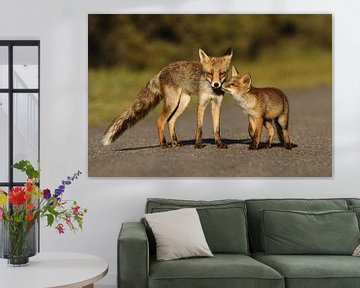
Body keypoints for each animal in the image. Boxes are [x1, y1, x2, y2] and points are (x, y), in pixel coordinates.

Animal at [101, 48, 233, 148]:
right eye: (210, 73)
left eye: (222, 73)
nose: (216, 84)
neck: (212, 90)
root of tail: (162, 70)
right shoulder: (202, 103)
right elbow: (199, 128)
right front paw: (198, 145)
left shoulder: (217, 104)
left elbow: (217, 128)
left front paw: (219, 144)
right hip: (172, 103)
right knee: (160, 121)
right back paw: (163, 143)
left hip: (183, 102)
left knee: (170, 121)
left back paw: (175, 142)